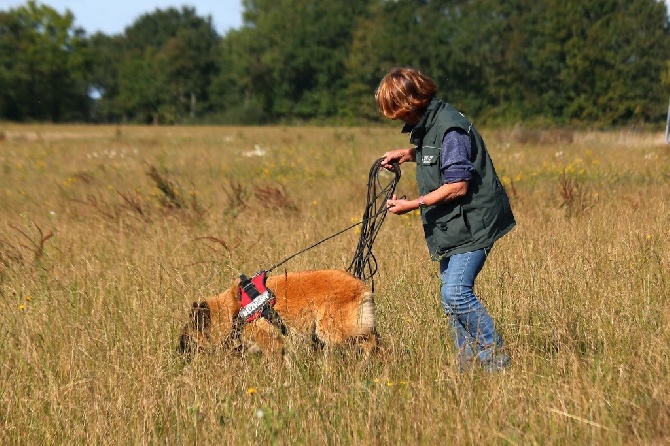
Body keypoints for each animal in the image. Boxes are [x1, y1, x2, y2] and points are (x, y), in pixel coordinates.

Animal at [177, 268, 378, 358]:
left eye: (185, 338)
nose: (178, 353)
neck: (235, 310)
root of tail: (360, 285)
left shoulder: (272, 343)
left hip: (332, 331)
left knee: (372, 343)